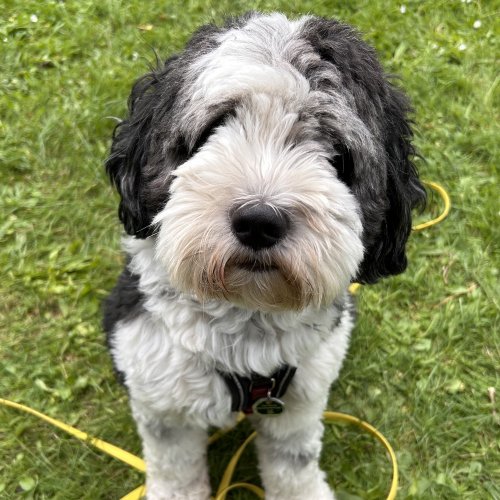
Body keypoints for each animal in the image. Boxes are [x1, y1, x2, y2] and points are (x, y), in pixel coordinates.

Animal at [103, 12, 425, 500]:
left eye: (337, 153)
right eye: (214, 127)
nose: (258, 220)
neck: (246, 323)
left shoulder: (299, 400)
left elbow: (293, 463)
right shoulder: (161, 397)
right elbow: (175, 468)